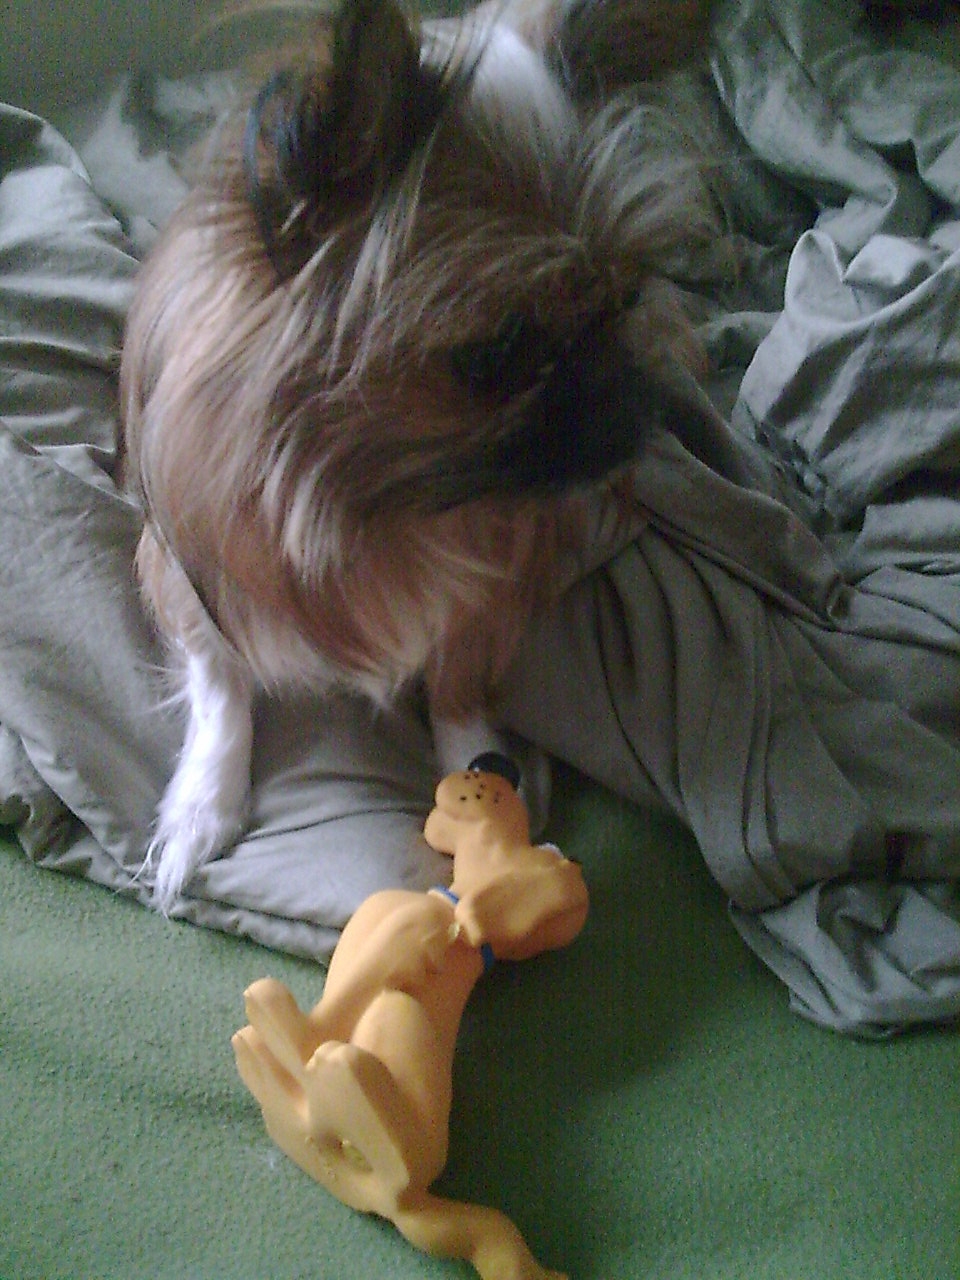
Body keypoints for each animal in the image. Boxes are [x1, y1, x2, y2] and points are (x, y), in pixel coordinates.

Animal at [120, 0, 718, 910]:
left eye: (625, 299)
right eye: (495, 354)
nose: (636, 425)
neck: (380, 503)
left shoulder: (491, 591)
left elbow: (458, 687)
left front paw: (482, 786)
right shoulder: (185, 575)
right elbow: (221, 684)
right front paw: (201, 806)